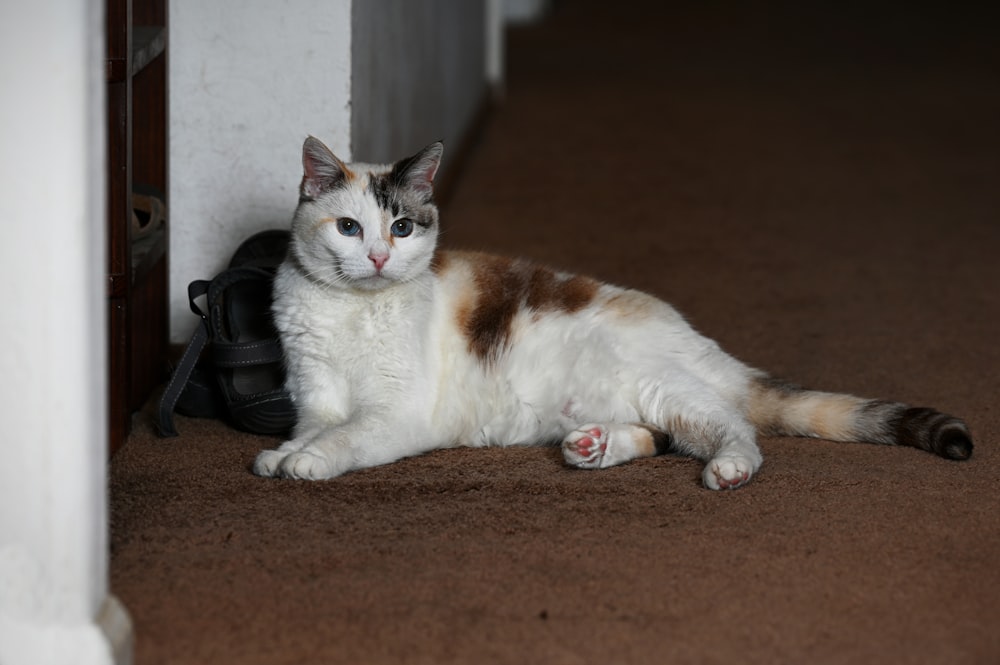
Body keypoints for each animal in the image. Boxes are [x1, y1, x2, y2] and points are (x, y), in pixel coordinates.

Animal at [252, 136, 976, 488]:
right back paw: (593, 446)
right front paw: (282, 453)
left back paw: (728, 469)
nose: (377, 256)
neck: (350, 310)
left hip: (661, 384)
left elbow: (346, 437)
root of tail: (704, 343)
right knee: (659, 436)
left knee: (736, 428)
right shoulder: (316, 397)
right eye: (350, 227)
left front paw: (304, 463)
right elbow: (317, 427)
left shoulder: (396, 412)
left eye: (402, 227)